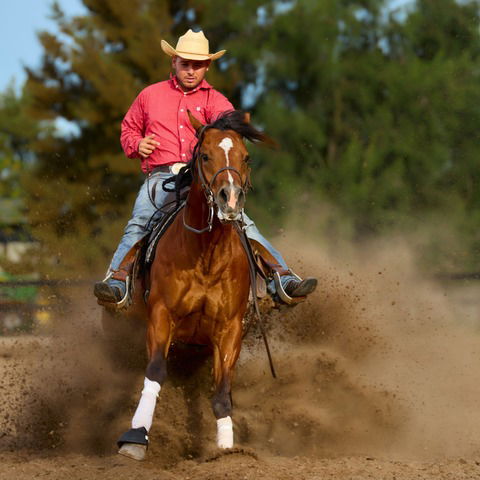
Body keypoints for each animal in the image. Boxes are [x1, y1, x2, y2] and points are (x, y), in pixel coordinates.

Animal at [116, 110, 272, 460]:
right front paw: (135, 436)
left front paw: (227, 450)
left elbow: (222, 392)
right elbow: (155, 373)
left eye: (246, 157)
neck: (206, 256)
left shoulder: (230, 329)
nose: (231, 199)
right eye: (205, 155)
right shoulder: (161, 317)